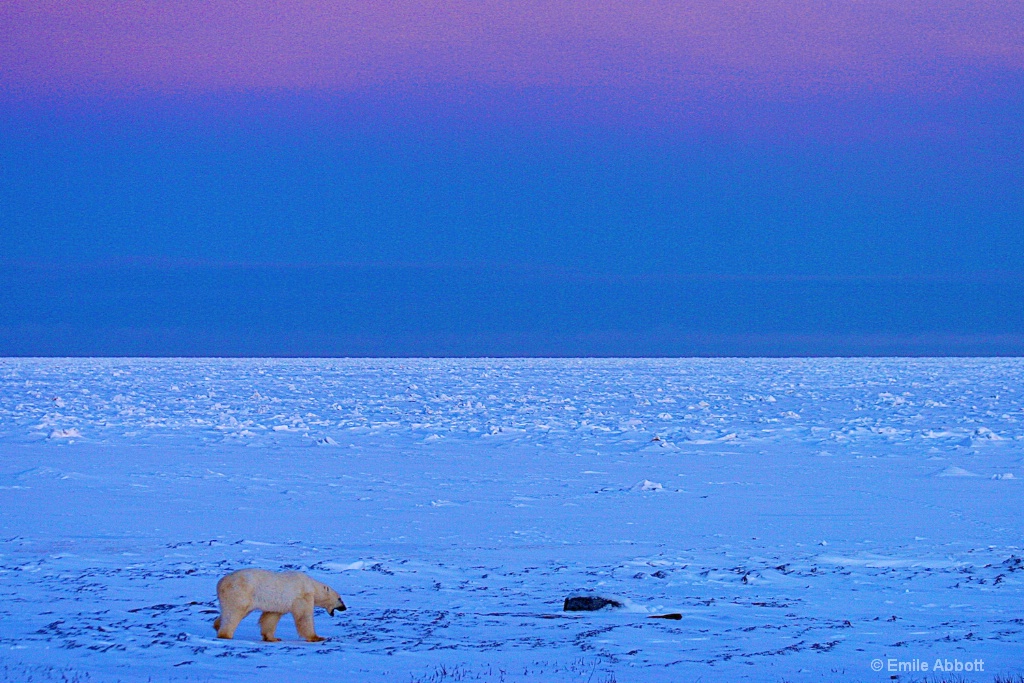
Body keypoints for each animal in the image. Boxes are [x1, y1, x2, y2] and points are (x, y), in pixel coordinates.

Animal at [212, 569, 348, 643]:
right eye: (340, 598)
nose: (344, 608)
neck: (312, 586)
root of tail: (220, 583)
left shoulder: (277, 604)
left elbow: (270, 617)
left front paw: (273, 638)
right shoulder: (302, 596)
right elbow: (304, 617)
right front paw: (317, 637)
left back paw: (217, 625)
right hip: (240, 592)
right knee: (234, 613)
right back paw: (225, 634)